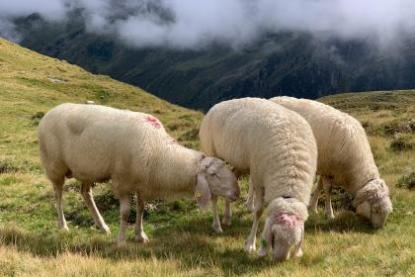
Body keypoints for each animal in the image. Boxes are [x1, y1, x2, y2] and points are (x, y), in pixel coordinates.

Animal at [39, 103, 240, 244]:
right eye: (213, 174)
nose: (237, 192)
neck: (159, 152)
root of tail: (49, 112)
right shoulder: (121, 182)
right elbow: (125, 213)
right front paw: (121, 241)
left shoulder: (143, 184)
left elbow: (141, 209)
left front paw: (140, 235)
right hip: (55, 166)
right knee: (58, 196)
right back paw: (63, 226)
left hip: (87, 169)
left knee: (85, 193)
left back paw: (102, 226)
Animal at [200, 97, 316, 260]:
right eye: (275, 235)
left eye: (295, 242)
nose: (279, 260)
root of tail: (216, 105)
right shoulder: (258, 178)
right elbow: (259, 211)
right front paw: (250, 244)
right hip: (212, 153)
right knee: (214, 196)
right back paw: (217, 225)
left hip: (239, 163)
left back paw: (227, 217)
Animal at [270, 96, 394, 227]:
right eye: (375, 209)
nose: (378, 228)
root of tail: (272, 99)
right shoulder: (327, 169)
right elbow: (328, 190)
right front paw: (330, 214)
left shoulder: (324, 168)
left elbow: (319, 187)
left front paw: (313, 208)